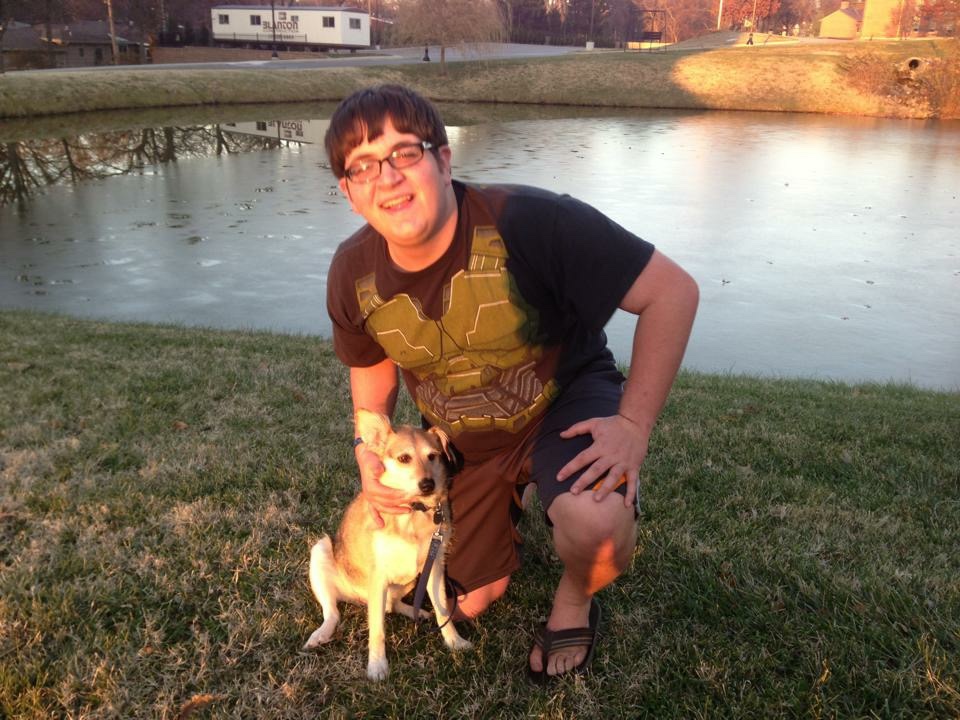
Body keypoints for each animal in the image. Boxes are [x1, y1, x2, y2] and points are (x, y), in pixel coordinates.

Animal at [303, 409, 472, 680]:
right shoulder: (378, 574)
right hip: (320, 552)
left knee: (391, 605)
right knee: (333, 613)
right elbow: (377, 630)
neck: (413, 514)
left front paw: (454, 641)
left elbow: (443, 610)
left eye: (433, 456)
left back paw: (417, 612)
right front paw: (377, 665)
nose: (427, 484)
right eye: (404, 458)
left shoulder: (434, 566)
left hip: (411, 580)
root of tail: (359, 599)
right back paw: (321, 634)